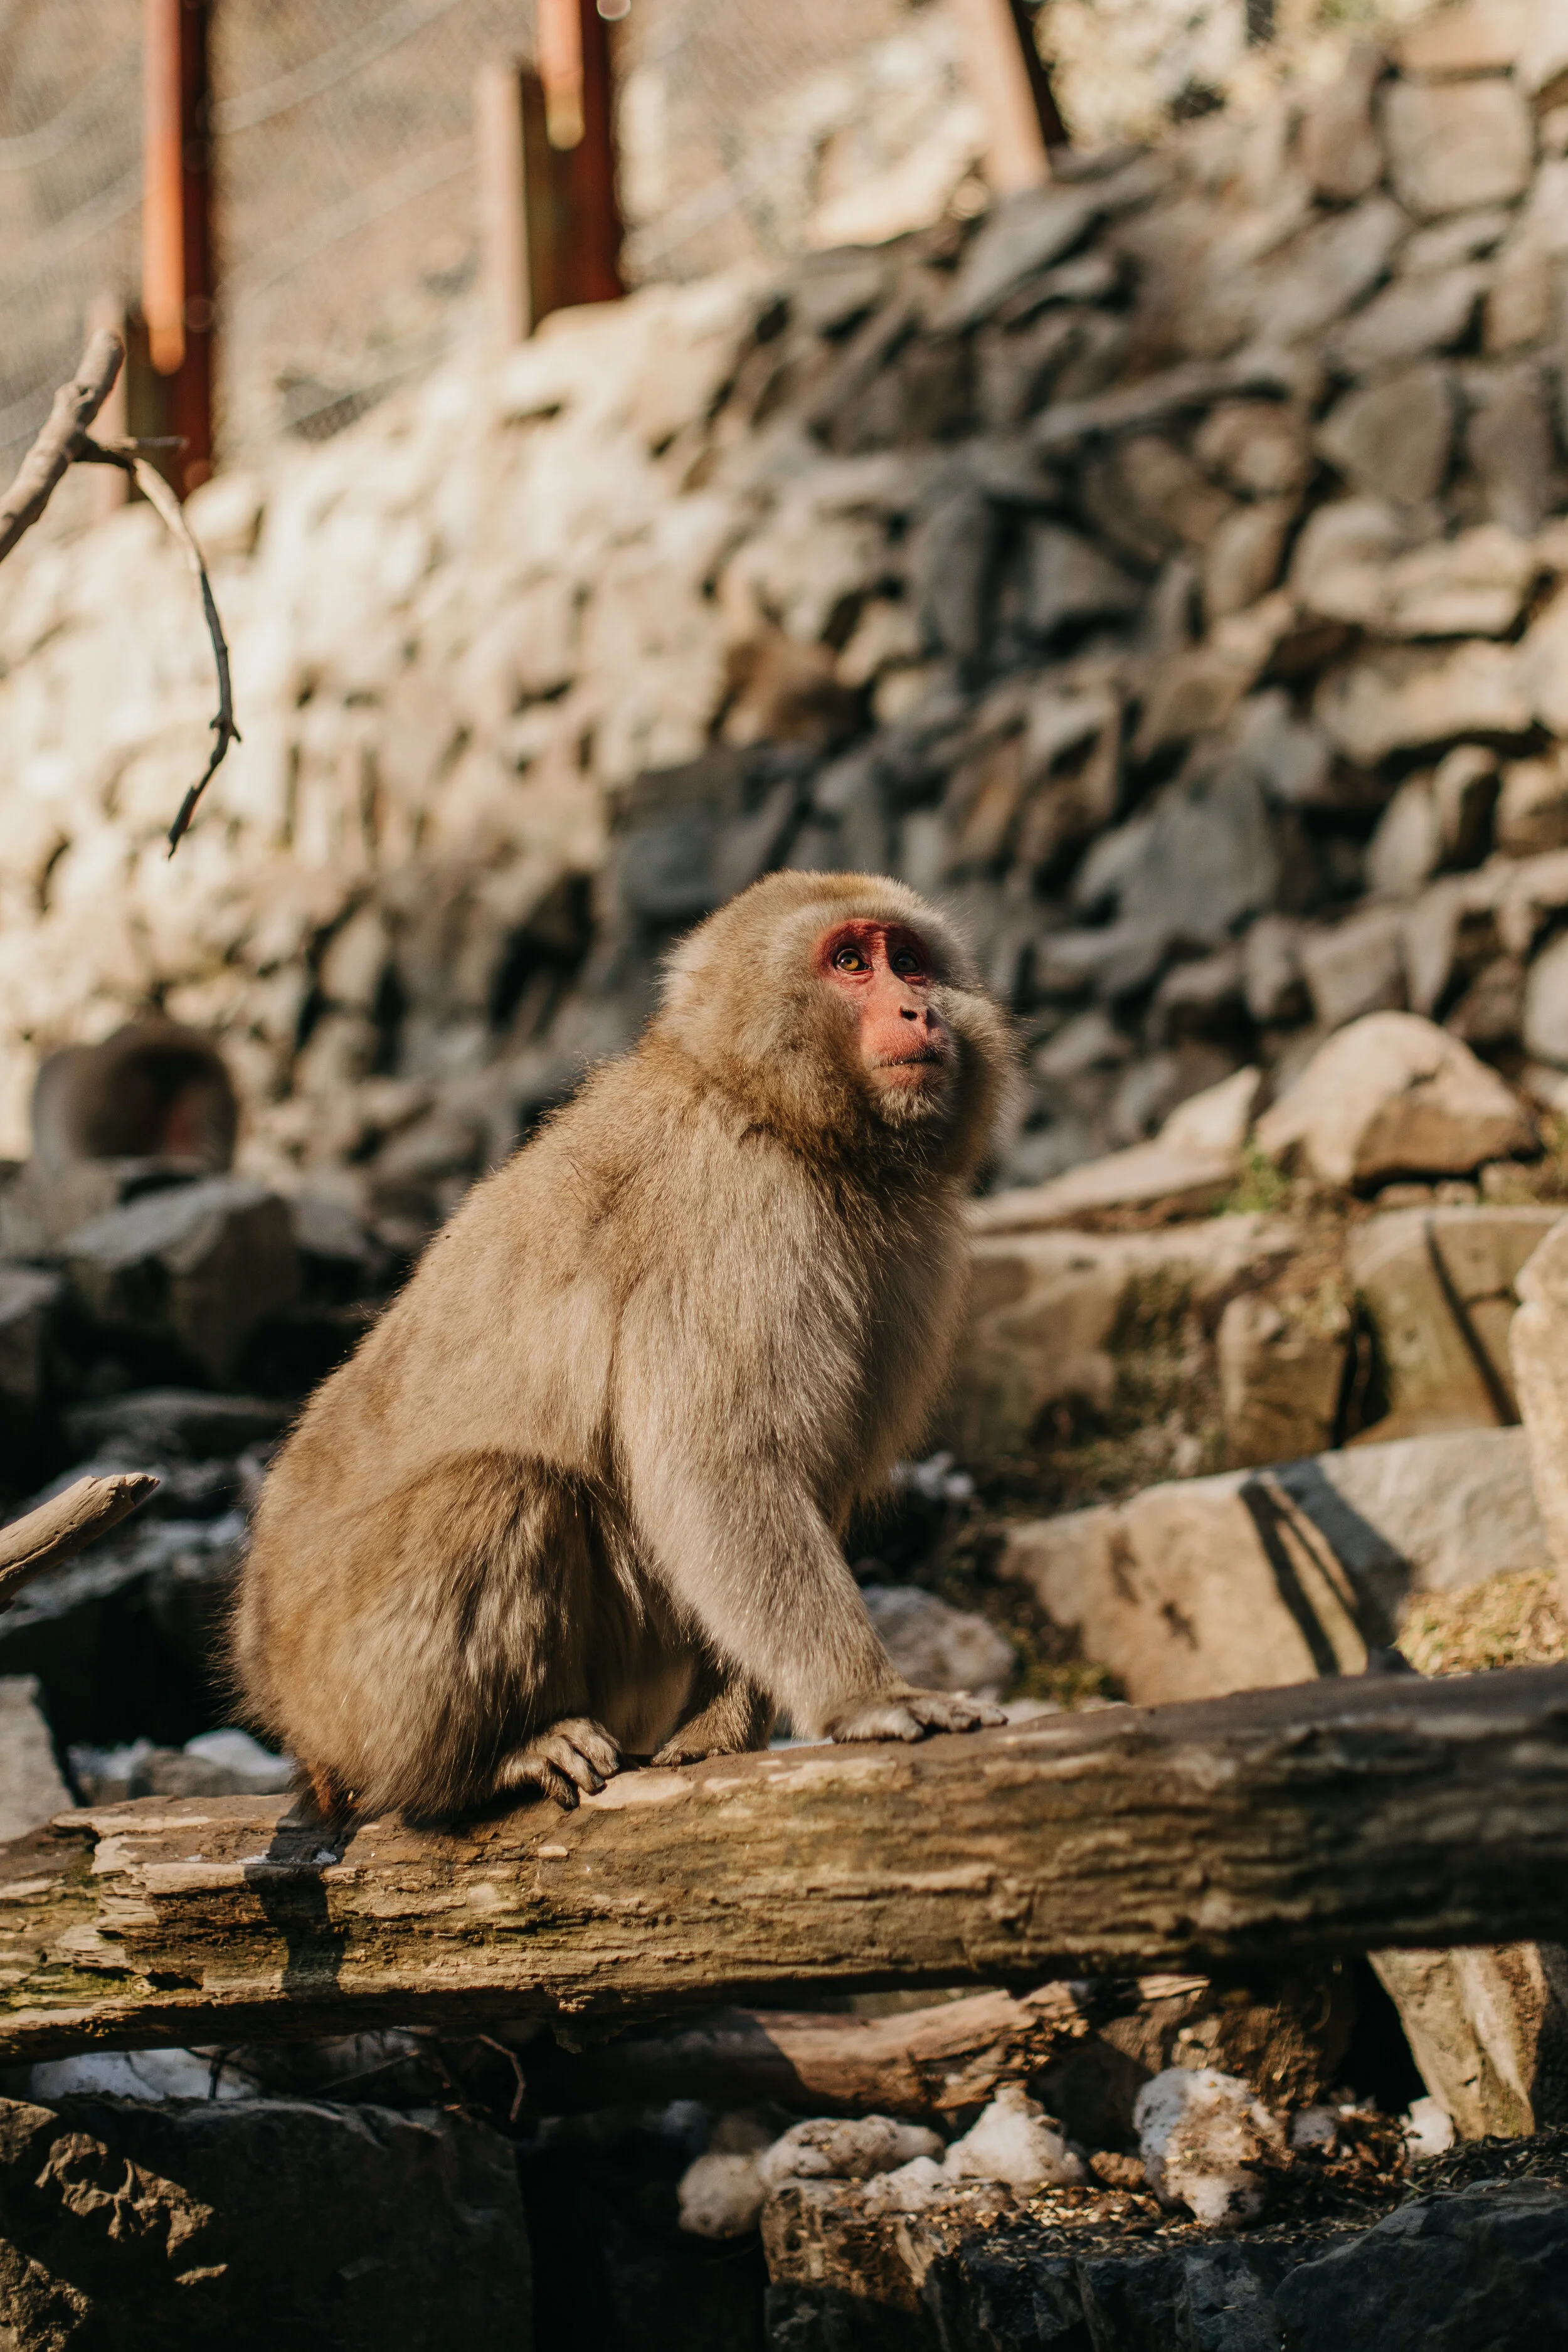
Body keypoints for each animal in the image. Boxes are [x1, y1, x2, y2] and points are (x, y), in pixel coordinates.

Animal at [232, 869, 1016, 1820]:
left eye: (908, 958)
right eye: (851, 963)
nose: (917, 1009)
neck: (772, 1110)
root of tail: (281, 1703)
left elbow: (794, 1482)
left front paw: (720, 1731)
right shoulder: (739, 1212)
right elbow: (717, 1466)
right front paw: (865, 1697)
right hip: (343, 1682)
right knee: (501, 1491)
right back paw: (483, 1764)